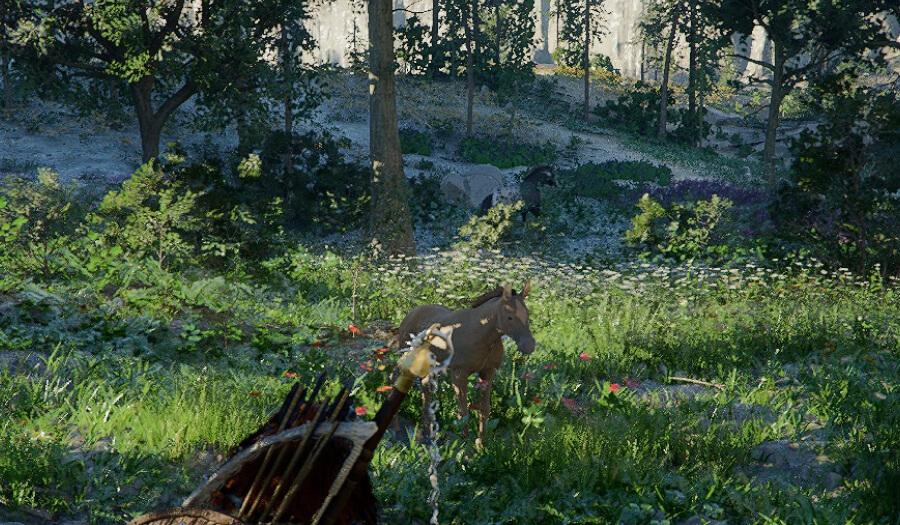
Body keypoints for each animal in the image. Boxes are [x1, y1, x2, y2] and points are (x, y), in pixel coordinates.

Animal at [397, 281, 535, 449]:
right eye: (510, 317)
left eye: (527, 314)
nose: (529, 346)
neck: (481, 336)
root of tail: (411, 313)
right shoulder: (459, 374)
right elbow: (463, 411)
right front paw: (464, 442)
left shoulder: (488, 372)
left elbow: (484, 408)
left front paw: (481, 444)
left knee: (425, 387)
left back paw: (425, 422)